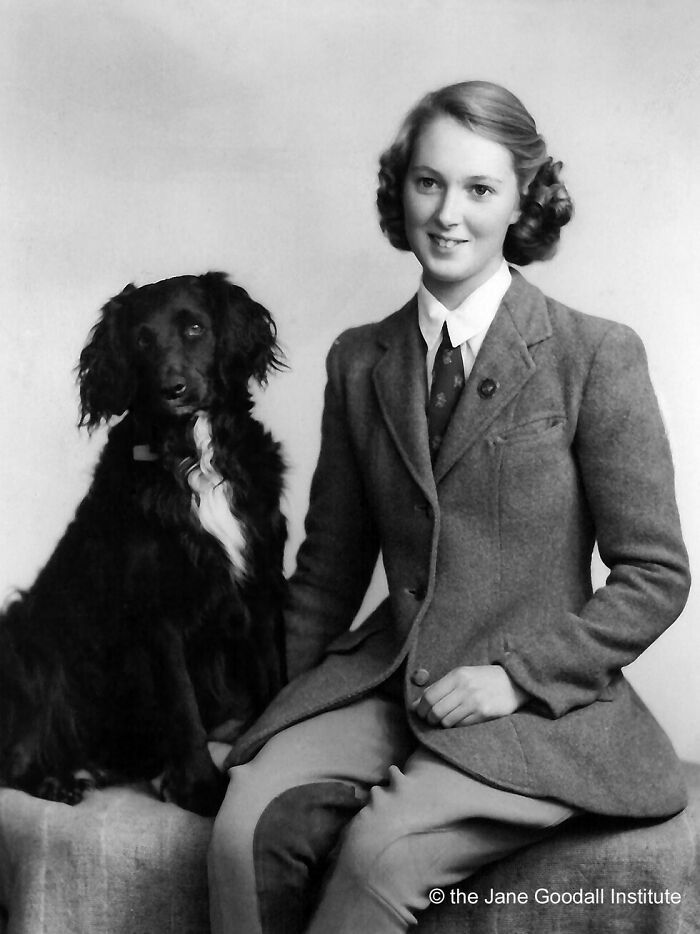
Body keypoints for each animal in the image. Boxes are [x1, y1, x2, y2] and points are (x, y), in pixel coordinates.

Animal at [0, 272, 286, 820]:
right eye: (140, 340)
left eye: (195, 328)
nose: (172, 389)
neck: (194, 454)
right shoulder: (158, 615)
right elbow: (184, 709)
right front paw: (201, 790)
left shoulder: (261, 589)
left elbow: (277, 682)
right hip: (29, 639)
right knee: (16, 757)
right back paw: (59, 782)